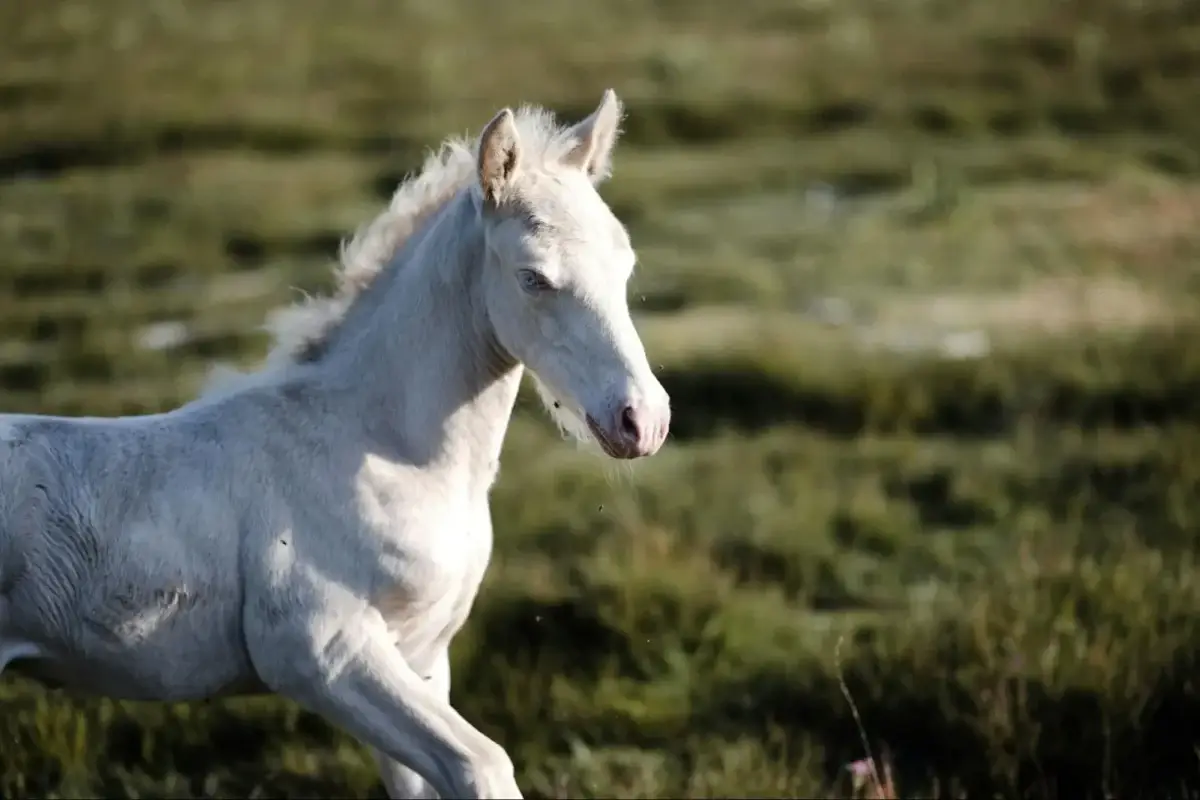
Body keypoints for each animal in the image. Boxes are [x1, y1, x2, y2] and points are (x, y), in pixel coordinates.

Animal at [0, 89, 670, 799]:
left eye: (624, 264)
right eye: (533, 278)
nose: (642, 421)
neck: (380, 450)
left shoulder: (420, 657)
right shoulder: (320, 652)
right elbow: (482, 763)